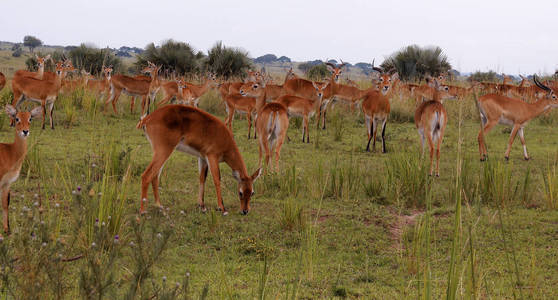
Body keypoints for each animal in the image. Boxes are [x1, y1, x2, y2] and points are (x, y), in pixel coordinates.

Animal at [0, 105, 43, 234]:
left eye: (30, 118)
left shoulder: (7, 183)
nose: (25, 131)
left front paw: (7, 230)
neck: (11, 152)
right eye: (17, 118)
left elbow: (5, 204)